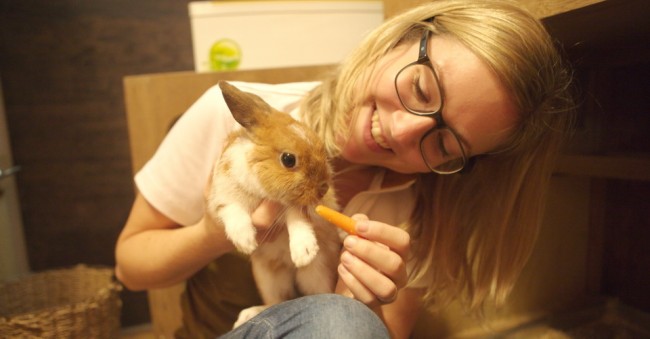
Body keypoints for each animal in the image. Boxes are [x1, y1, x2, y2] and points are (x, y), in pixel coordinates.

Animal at [206, 81, 340, 328]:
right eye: (288, 159)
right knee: (277, 301)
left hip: (316, 273)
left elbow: (297, 221)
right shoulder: (222, 198)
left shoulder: (297, 208)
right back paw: (249, 314)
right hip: (267, 278)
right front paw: (246, 241)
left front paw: (304, 252)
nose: (324, 189)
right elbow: (233, 213)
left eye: (321, 149)